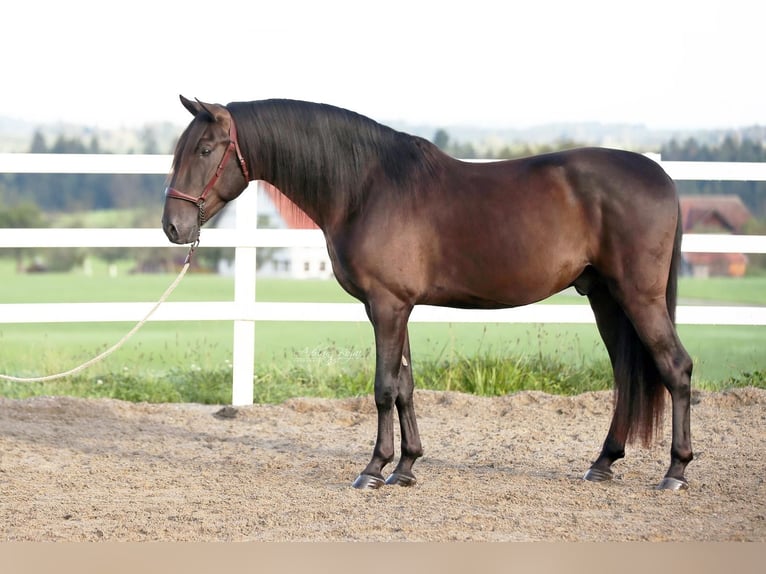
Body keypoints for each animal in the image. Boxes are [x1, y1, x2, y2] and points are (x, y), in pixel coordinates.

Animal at [162, 97, 696, 492]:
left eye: (206, 149)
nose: (173, 227)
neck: (366, 186)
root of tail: (662, 179)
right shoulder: (397, 307)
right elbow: (406, 385)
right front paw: (406, 467)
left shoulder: (387, 306)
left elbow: (383, 387)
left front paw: (373, 469)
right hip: (605, 297)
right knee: (627, 375)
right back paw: (603, 462)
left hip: (638, 296)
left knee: (676, 368)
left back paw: (675, 471)